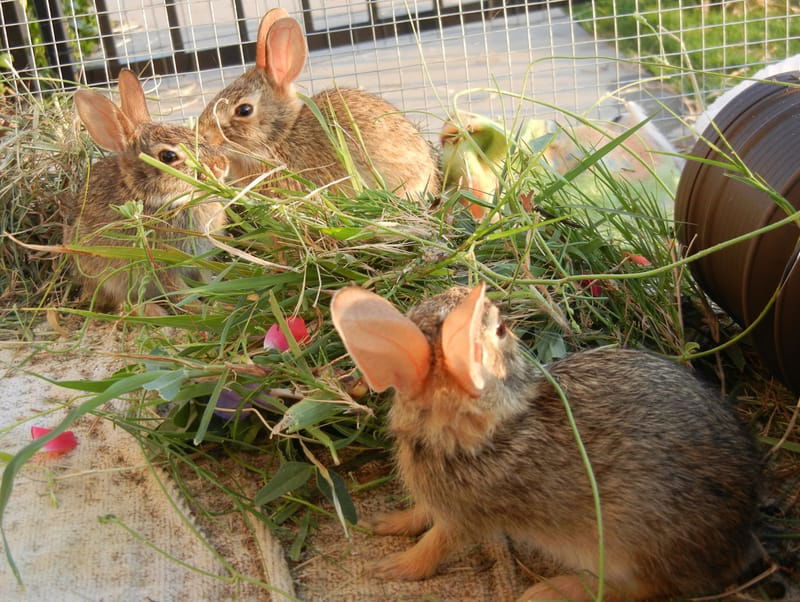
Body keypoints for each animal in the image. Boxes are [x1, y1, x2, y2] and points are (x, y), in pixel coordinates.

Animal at [65, 69, 228, 314]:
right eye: (168, 156)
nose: (221, 165)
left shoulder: (198, 260)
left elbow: (205, 278)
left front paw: (218, 299)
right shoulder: (161, 264)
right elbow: (180, 292)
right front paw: (205, 310)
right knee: (123, 301)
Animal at [332, 282, 764, 600]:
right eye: (501, 330)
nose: (469, 289)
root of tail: (738, 541)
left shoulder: (465, 517)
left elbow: (436, 545)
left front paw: (391, 568)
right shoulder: (441, 505)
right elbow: (422, 516)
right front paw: (383, 524)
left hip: (630, 545)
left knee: (638, 589)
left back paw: (548, 591)